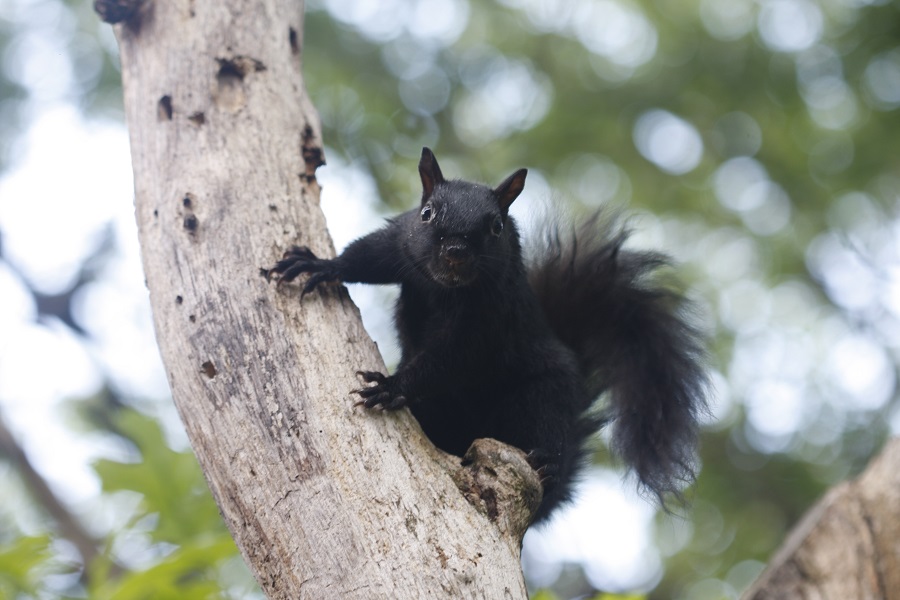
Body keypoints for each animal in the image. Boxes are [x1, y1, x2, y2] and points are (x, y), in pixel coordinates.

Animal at [264, 148, 708, 524]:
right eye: (427, 213)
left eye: (496, 226)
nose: (455, 252)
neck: (446, 290)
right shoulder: (400, 245)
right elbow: (366, 258)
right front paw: (319, 265)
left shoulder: (486, 320)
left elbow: (448, 359)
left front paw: (392, 385)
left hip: (542, 393)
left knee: (546, 424)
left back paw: (548, 461)